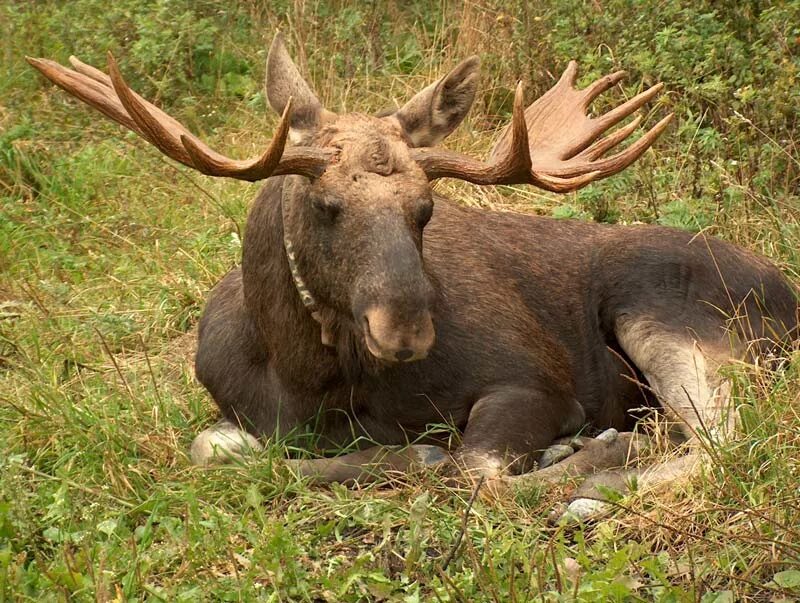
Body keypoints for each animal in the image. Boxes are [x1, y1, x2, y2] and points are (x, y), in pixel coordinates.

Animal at [28, 33, 796, 520]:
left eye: (425, 208)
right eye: (325, 203)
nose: (407, 328)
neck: (308, 382)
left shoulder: (537, 380)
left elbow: (468, 469)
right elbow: (209, 450)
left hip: (670, 313)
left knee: (730, 439)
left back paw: (597, 474)